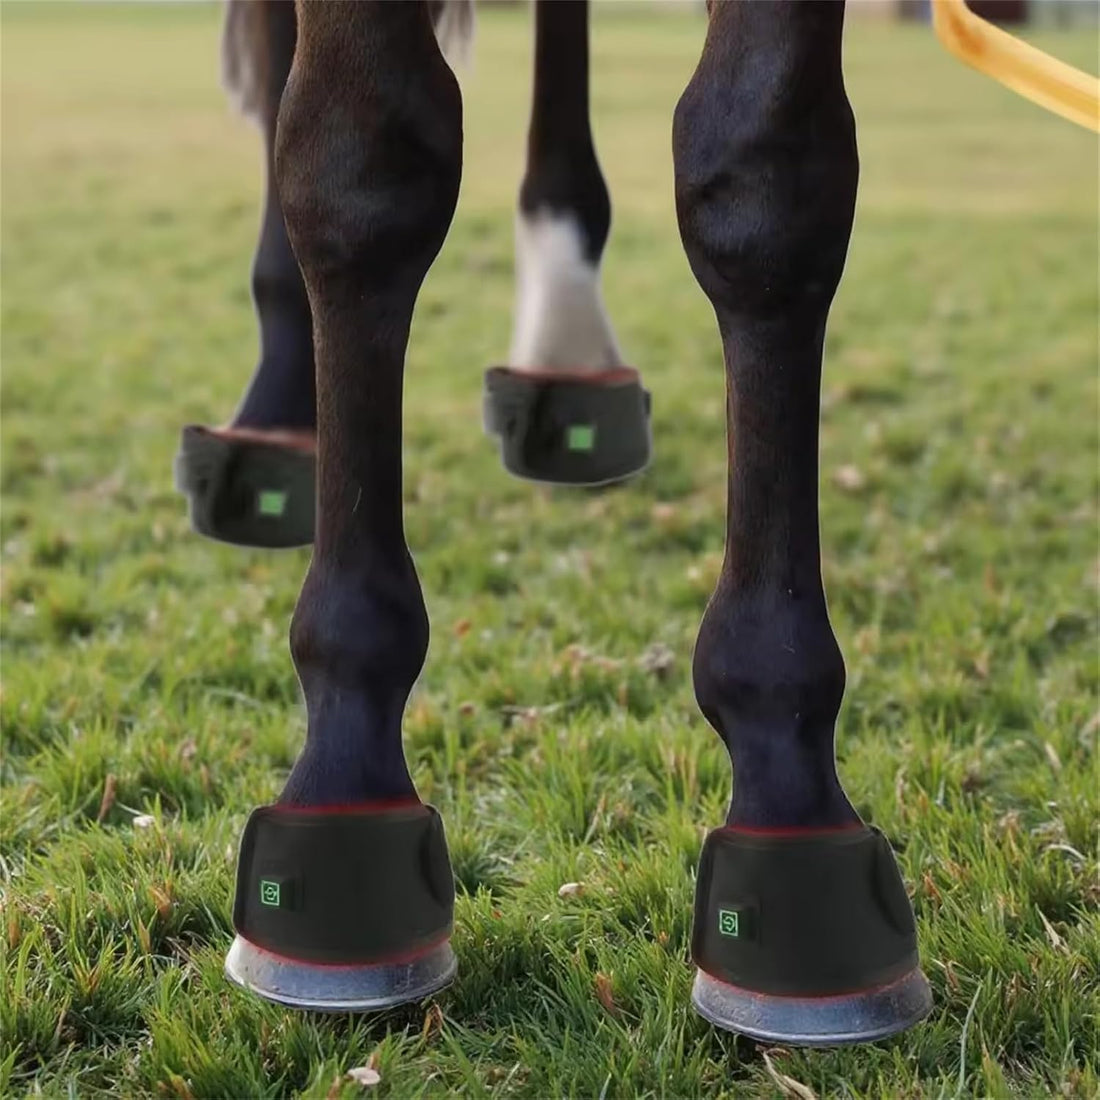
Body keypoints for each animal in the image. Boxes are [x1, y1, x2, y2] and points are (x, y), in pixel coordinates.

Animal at [173, 0, 1097, 1047]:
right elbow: (359, 163)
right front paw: (342, 780)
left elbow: (766, 180)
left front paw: (790, 791)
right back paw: (277, 420)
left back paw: (569, 361)